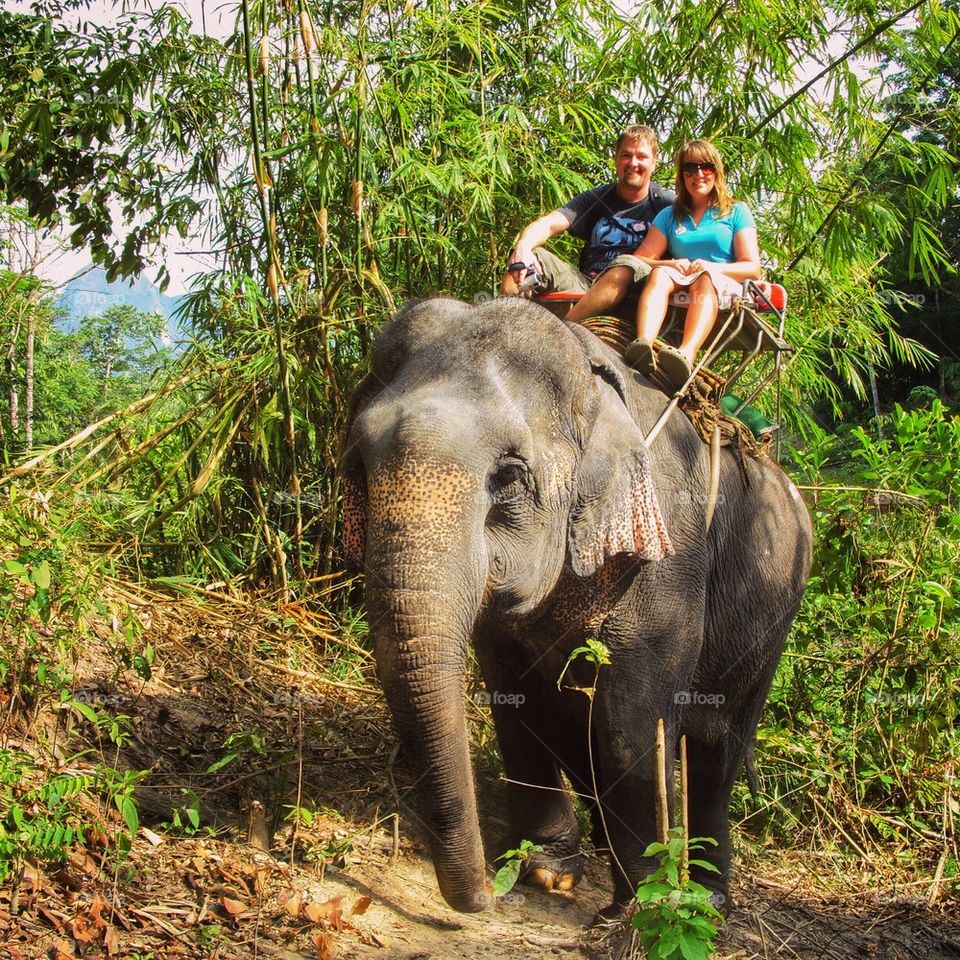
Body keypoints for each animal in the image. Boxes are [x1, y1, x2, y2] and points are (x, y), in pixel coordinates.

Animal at [342, 296, 812, 920]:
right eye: (359, 463)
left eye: (509, 476)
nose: (482, 898)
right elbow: (516, 703)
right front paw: (548, 874)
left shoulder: (667, 548)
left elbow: (630, 721)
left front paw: (640, 905)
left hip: (774, 612)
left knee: (718, 743)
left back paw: (708, 894)